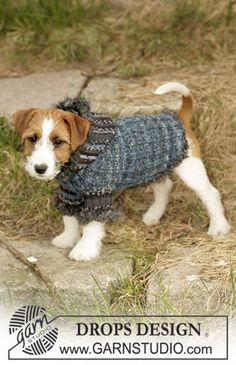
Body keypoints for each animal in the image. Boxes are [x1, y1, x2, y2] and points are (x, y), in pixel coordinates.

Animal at [12, 82, 230, 262]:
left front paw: (83, 251)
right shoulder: (69, 193)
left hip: (191, 169)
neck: (83, 153)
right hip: (152, 168)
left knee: (210, 194)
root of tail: (178, 118)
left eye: (58, 141)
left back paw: (219, 227)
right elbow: (69, 218)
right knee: (165, 187)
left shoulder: (97, 195)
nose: (40, 169)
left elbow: (91, 225)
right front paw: (67, 239)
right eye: (32, 139)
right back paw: (153, 216)